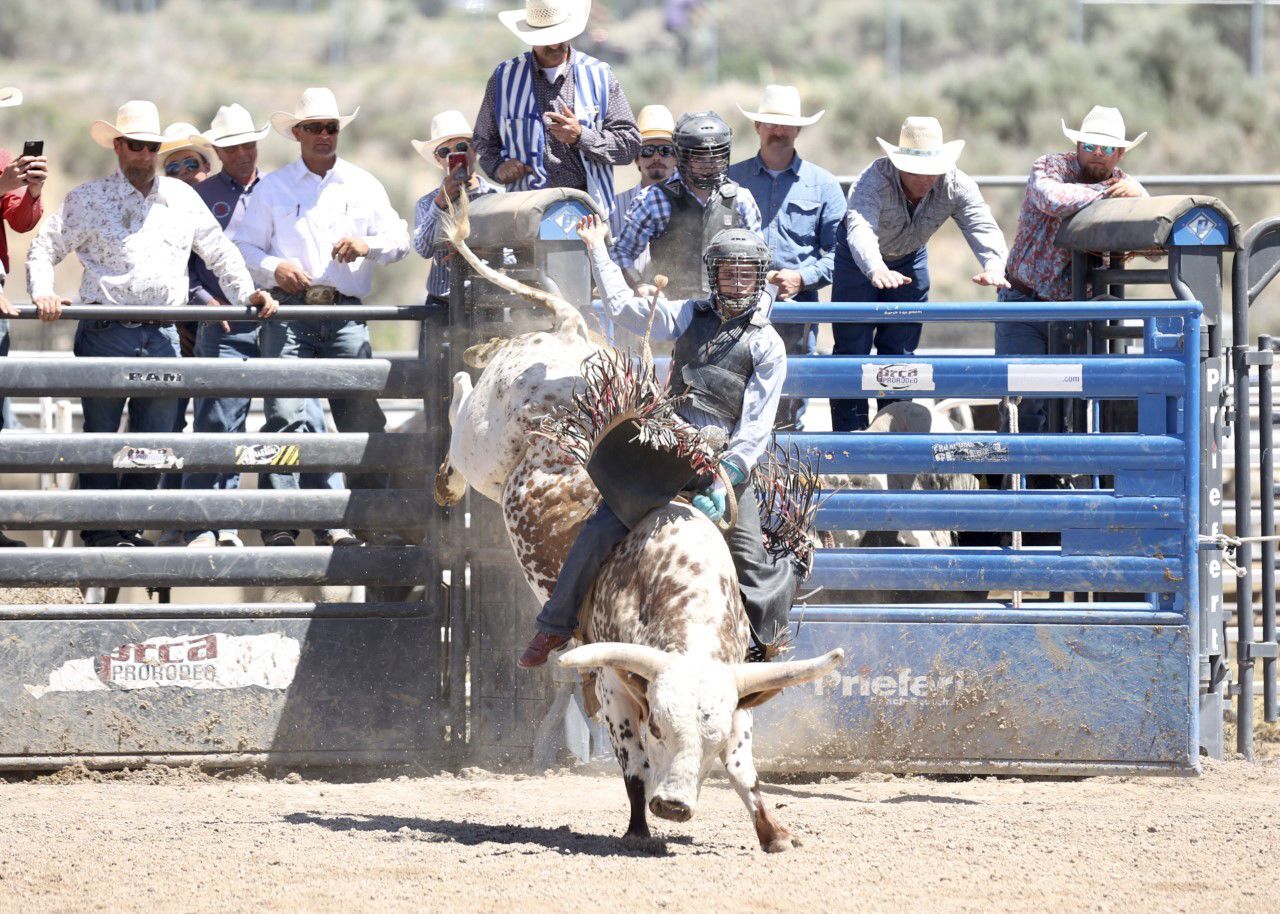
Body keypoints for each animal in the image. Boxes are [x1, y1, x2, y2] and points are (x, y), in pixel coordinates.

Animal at [435, 192, 844, 844]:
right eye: (659, 724)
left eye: (709, 740)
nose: (675, 805)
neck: (680, 575)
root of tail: (572, 335)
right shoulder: (613, 681)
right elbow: (630, 760)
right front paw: (638, 828)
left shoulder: (734, 693)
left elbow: (745, 769)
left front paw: (773, 830)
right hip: (484, 446)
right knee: (456, 401)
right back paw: (447, 467)